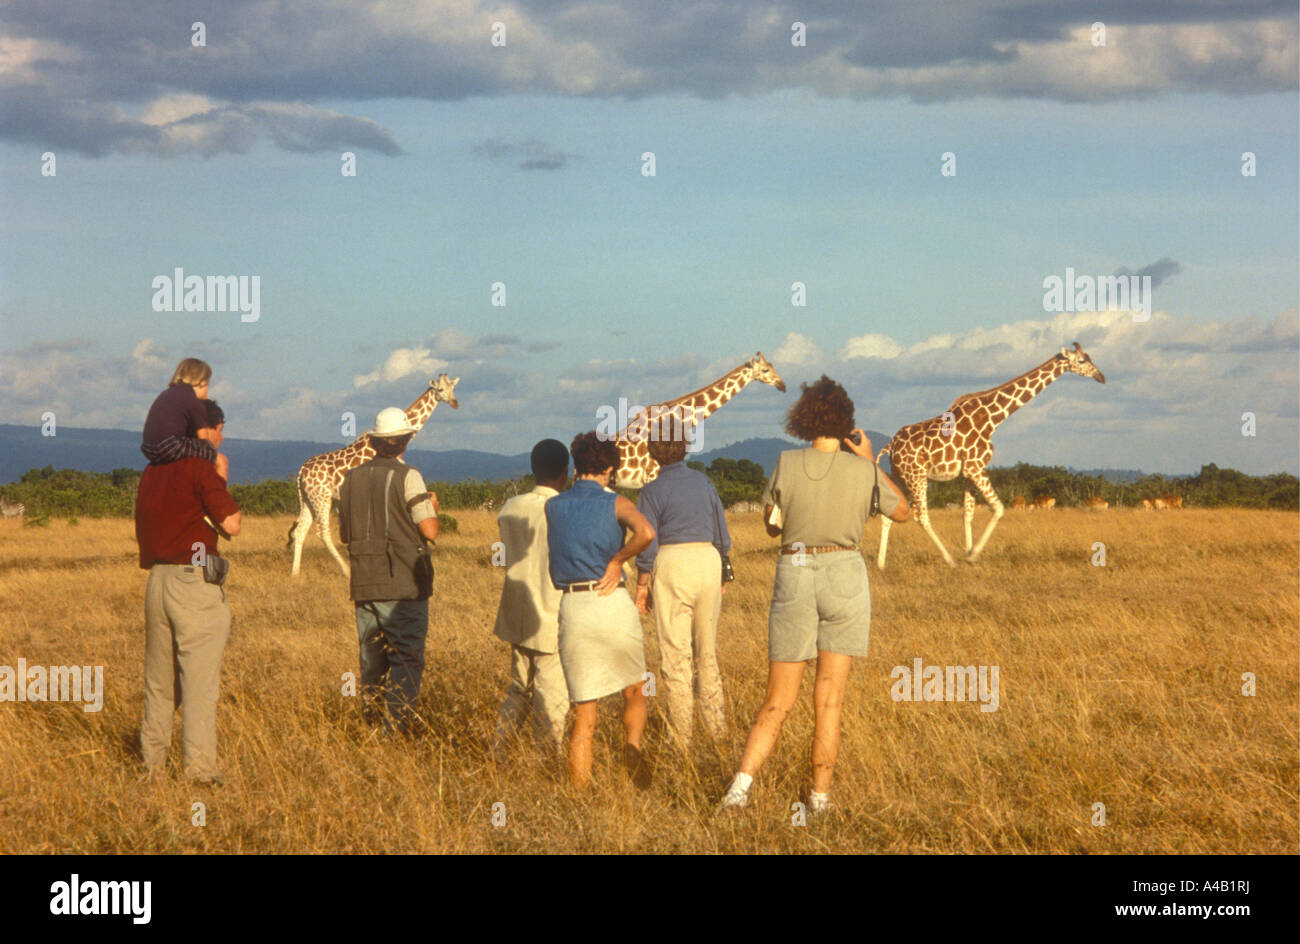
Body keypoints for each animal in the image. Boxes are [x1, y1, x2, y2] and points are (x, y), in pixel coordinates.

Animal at [288, 373, 460, 577]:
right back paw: (346, 570)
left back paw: (295, 573)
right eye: (440, 389)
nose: (454, 402)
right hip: (322, 498)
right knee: (322, 532)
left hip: (308, 499)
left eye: (453, 388)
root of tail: (302, 471)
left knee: (300, 530)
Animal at [876, 342, 1105, 568]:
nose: (1101, 377)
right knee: (921, 516)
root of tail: (891, 445)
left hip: (899, 476)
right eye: (1082, 360)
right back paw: (949, 560)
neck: (992, 419)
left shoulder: (968, 473)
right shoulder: (976, 467)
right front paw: (972, 555)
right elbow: (999, 508)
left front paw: (968, 553)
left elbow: (967, 514)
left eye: (1090, 357)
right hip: (917, 475)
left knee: (888, 516)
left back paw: (880, 564)